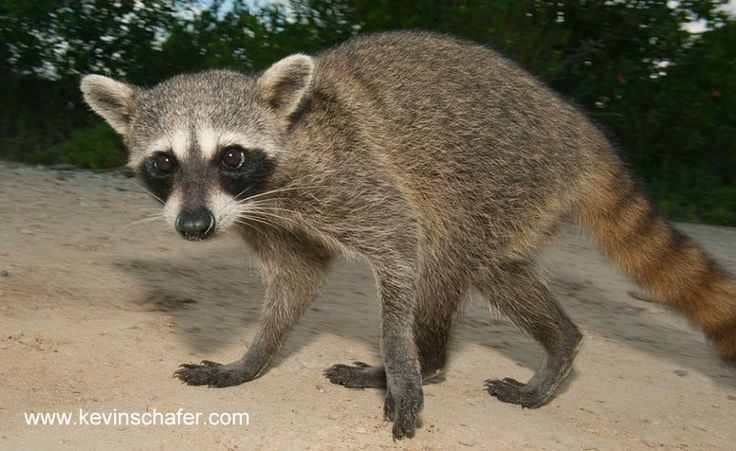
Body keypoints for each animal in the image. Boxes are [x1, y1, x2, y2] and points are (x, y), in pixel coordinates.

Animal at [80, 31, 736, 439]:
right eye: (163, 163)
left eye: (232, 156)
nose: (194, 226)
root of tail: (583, 134)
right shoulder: (266, 215)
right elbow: (297, 276)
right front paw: (253, 358)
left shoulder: (342, 173)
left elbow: (399, 240)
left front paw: (398, 354)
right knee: (499, 272)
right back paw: (560, 343)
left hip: (496, 175)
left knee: (443, 258)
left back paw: (425, 361)